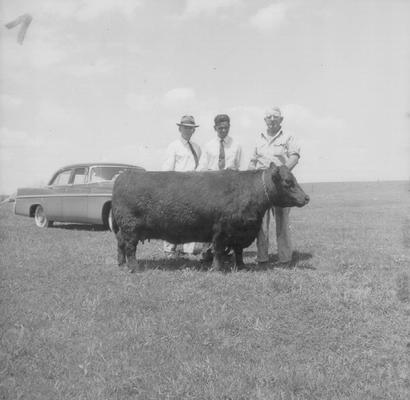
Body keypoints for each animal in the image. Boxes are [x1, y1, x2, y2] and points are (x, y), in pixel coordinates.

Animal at [110, 163, 310, 272]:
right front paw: (217, 268)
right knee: (130, 248)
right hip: (131, 229)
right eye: (288, 182)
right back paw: (133, 268)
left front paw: (241, 266)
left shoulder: (240, 233)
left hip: (124, 230)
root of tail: (123, 176)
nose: (307, 197)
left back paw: (121, 263)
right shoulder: (221, 231)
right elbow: (219, 250)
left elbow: (238, 252)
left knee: (120, 244)